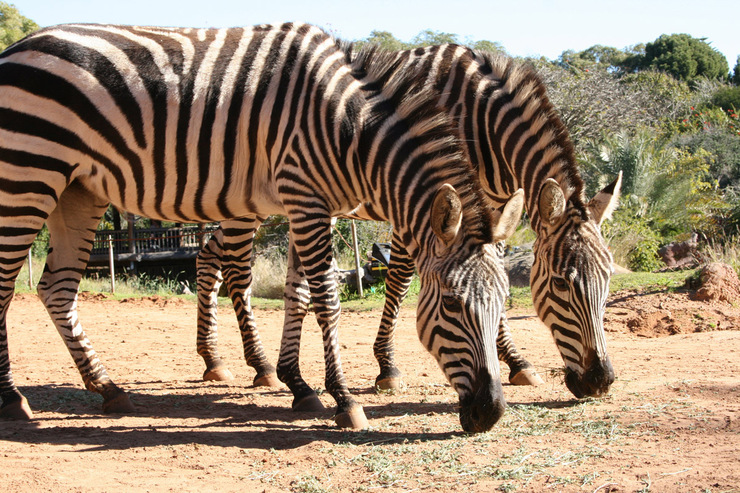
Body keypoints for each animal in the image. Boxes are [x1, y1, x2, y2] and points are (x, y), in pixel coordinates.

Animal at [0, 21, 524, 428]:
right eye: (452, 304)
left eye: (504, 301)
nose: (491, 414)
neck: (349, 131)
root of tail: (18, 46)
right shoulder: (306, 197)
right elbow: (327, 299)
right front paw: (344, 400)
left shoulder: (312, 205)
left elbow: (299, 293)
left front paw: (301, 387)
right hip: (28, 175)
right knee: (7, 285)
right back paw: (12, 399)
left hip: (77, 190)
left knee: (57, 288)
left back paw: (107, 387)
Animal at [195, 43, 620, 400]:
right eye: (562, 284)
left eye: (608, 281)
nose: (600, 381)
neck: (481, 120)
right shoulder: (423, 205)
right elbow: (399, 279)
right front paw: (387, 367)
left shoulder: (490, 213)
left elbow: (491, 275)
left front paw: (515, 361)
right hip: (248, 203)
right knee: (235, 270)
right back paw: (259, 365)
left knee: (207, 255)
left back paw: (213, 359)